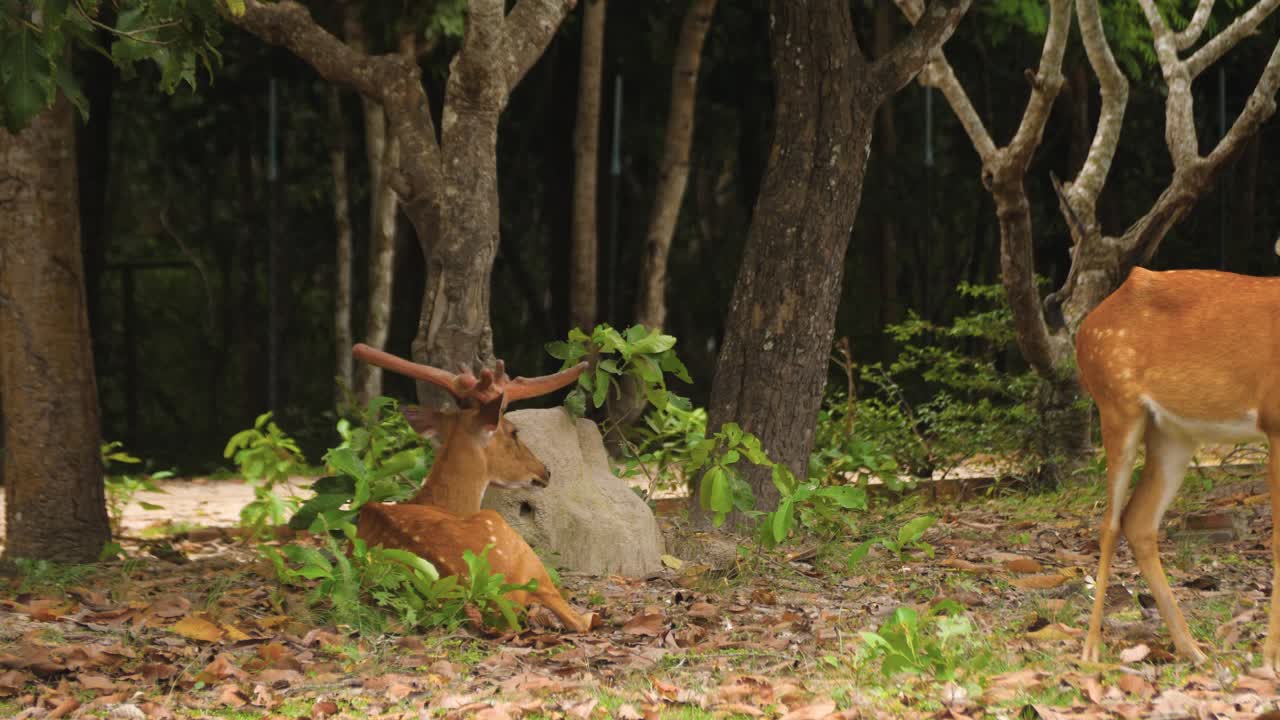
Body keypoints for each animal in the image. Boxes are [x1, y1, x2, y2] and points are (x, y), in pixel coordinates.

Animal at [1076, 267, 1280, 670]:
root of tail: (1084, 328)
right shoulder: (1275, 422)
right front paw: (1270, 660)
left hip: (1173, 435)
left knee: (1138, 521)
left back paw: (1193, 650)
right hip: (1117, 404)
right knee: (1109, 523)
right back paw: (1090, 650)